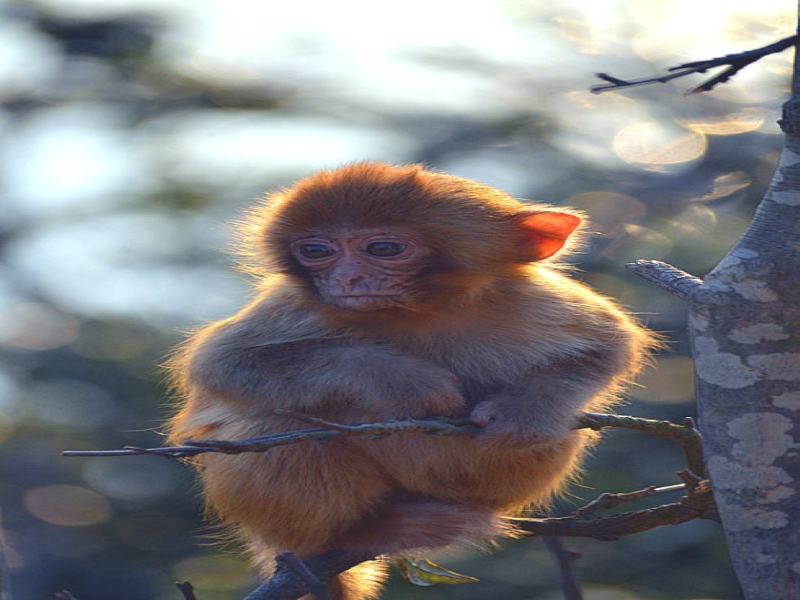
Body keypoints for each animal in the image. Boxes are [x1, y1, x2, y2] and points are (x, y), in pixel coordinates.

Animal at [166, 161, 660, 600]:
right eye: (317, 251)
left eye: (383, 249)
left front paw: (525, 411)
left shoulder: (532, 298)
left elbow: (610, 345)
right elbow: (224, 363)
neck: (423, 310)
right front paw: (400, 378)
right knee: (283, 423)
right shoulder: (294, 306)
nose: (347, 278)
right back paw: (368, 530)